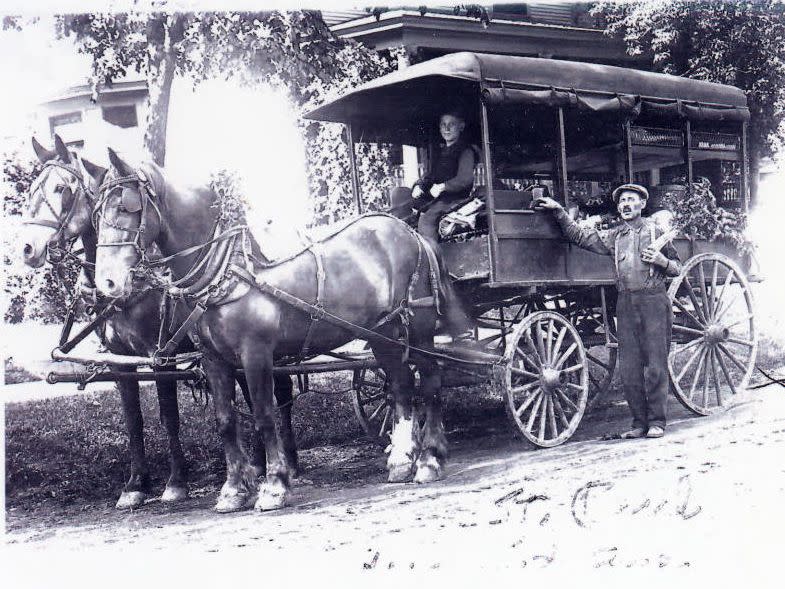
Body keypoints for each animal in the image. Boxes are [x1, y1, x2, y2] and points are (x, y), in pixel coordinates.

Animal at [22, 137, 298, 510]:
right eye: (32, 189)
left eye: (61, 189)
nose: (27, 248)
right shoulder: (120, 359)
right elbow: (133, 421)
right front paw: (136, 484)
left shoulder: (159, 355)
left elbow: (169, 415)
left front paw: (176, 482)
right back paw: (257, 465)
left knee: (278, 392)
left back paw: (287, 464)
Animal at [91, 149, 450, 512]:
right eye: (96, 216)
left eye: (127, 207)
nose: (107, 283)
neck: (228, 267)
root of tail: (410, 232)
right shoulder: (213, 359)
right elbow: (225, 420)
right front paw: (233, 490)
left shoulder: (256, 353)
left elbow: (264, 416)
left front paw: (275, 484)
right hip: (384, 333)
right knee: (401, 386)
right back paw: (402, 461)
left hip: (418, 329)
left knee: (431, 382)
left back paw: (429, 459)